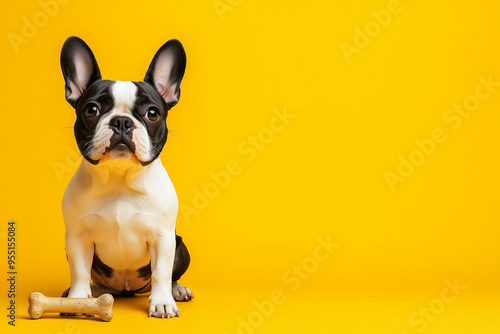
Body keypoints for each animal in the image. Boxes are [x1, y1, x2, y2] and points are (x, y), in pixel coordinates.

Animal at [58, 36, 191, 318]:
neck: (120, 179)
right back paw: (90, 292)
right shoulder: (77, 238)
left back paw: (177, 290)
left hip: (180, 246)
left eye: (152, 113)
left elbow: (162, 272)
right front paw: (77, 300)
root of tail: (126, 289)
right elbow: (79, 272)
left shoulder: (163, 238)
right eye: (91, 110)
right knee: (95, 281)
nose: (121, 121)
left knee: (170, 275)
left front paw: (162, 302)